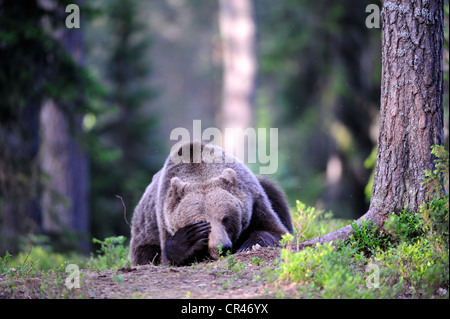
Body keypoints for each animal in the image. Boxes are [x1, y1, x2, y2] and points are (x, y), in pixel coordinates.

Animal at [128, 141, 294, 266]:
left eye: (226, 218)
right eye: (202, 221)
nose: (223, 247)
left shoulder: (254, 201)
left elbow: (276, 231)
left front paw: (249, 244)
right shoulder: (164, 219)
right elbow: (167, 257)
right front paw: (189, 238)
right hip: (144, 234)